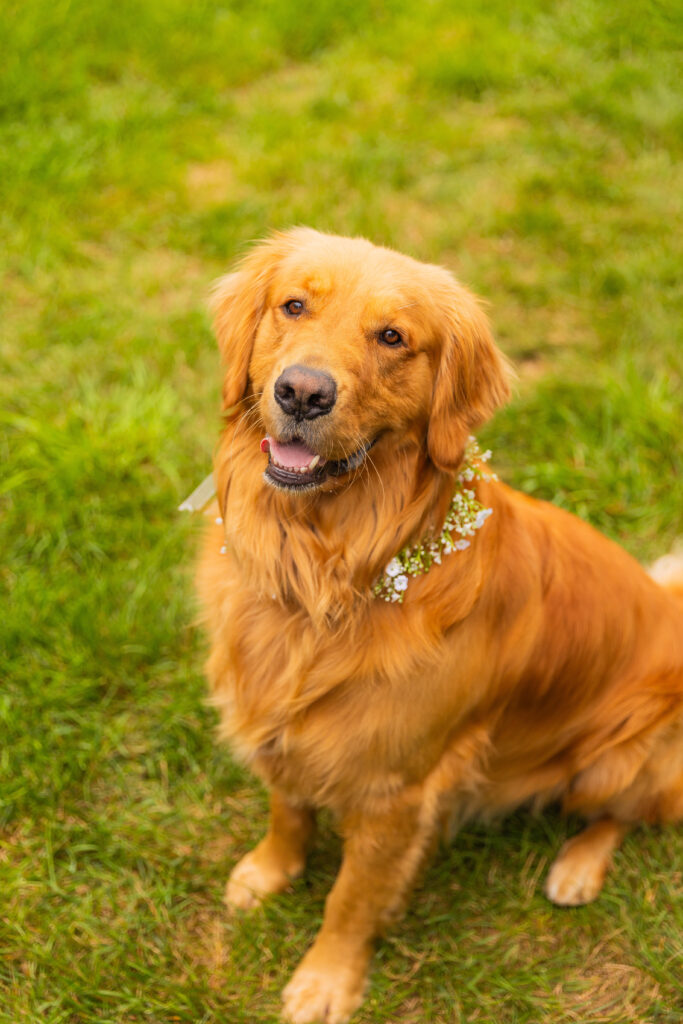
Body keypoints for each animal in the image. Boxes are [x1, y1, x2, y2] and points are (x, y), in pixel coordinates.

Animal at [197, 228, 683, 1019]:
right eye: (293, 305)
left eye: (393, 337)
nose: (301, 392)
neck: (328, 573)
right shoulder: (277, 713)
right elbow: (286, 807)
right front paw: (268, 872)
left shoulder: (396, 790)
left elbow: (351, 899)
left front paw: (325, 981)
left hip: (609, 761)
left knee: (630, 813)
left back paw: (576, 868)